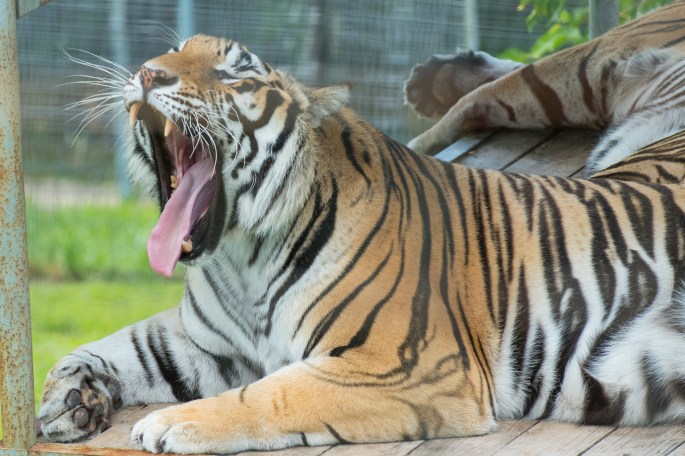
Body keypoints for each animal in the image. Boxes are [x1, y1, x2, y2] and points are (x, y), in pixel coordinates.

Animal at [38, 33, 685, 455]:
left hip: (588, 70)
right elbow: (119, 345)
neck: (242, 257)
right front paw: (68, 399)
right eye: (172, 52)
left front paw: (170, 425)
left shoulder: (406, 364)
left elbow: (275, 394)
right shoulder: (204, 341)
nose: (149, 73)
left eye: (233, 74)